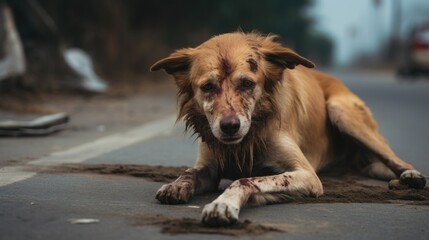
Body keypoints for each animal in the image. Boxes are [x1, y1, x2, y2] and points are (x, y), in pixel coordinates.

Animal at [150, 32, 424, 227]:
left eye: (247, 84)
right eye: (207, 87)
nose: (229, 127)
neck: (247, 140)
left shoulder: (307, 176)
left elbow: (245, 180)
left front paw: (223, 205)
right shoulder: (209, 167)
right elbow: (191, 172)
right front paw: (176, 185)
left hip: (341, 112)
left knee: (395, 159)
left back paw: (411, 175)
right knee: (374, 167)